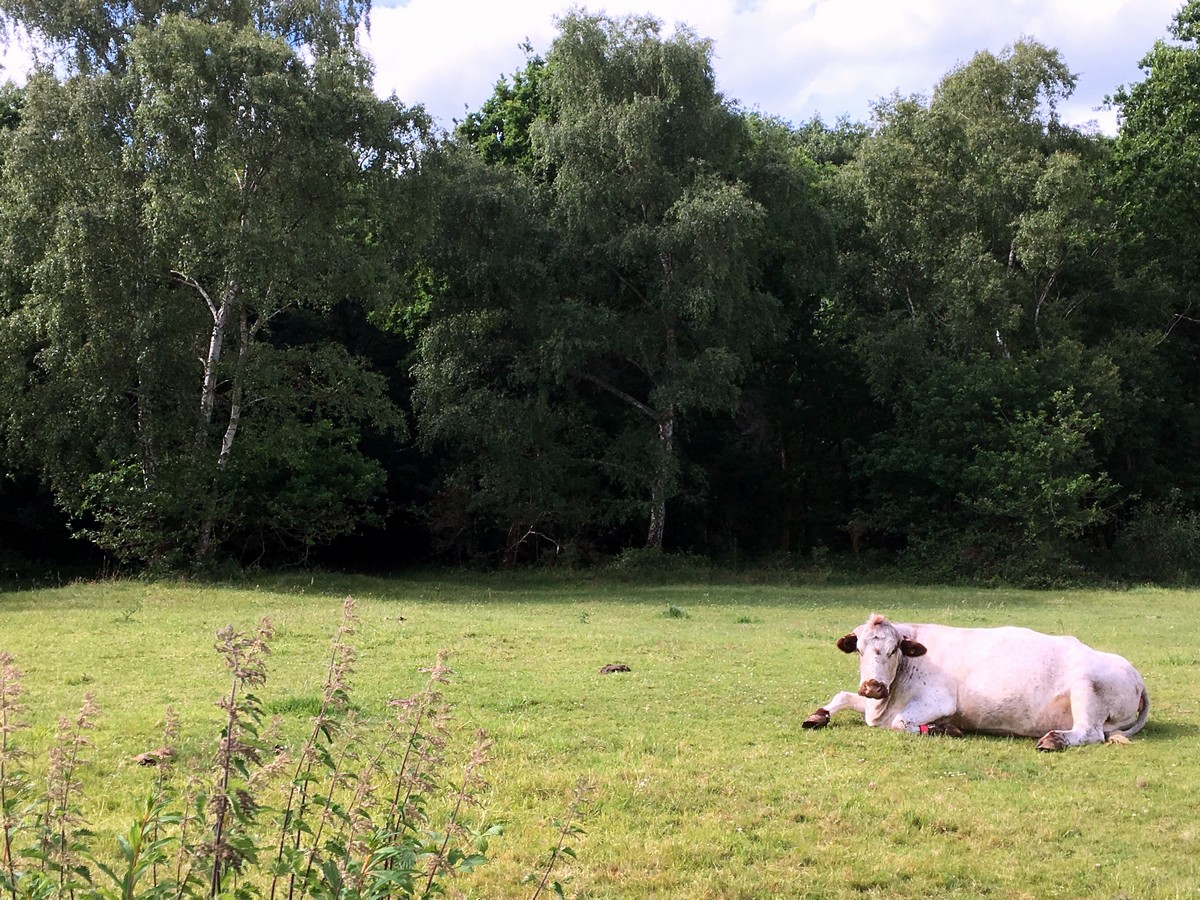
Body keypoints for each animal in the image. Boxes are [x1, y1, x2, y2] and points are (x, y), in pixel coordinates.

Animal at [801, 614, 1147, 753]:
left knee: (1090, 733)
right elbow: (842, 695)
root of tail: (1135, 674)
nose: (873, 687)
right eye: (859, 649)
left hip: (1086, 687)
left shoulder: (939, 701)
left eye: (893, 649)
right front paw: (817, 716)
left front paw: (944, 729)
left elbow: (901, 723)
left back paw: (1054, 740)